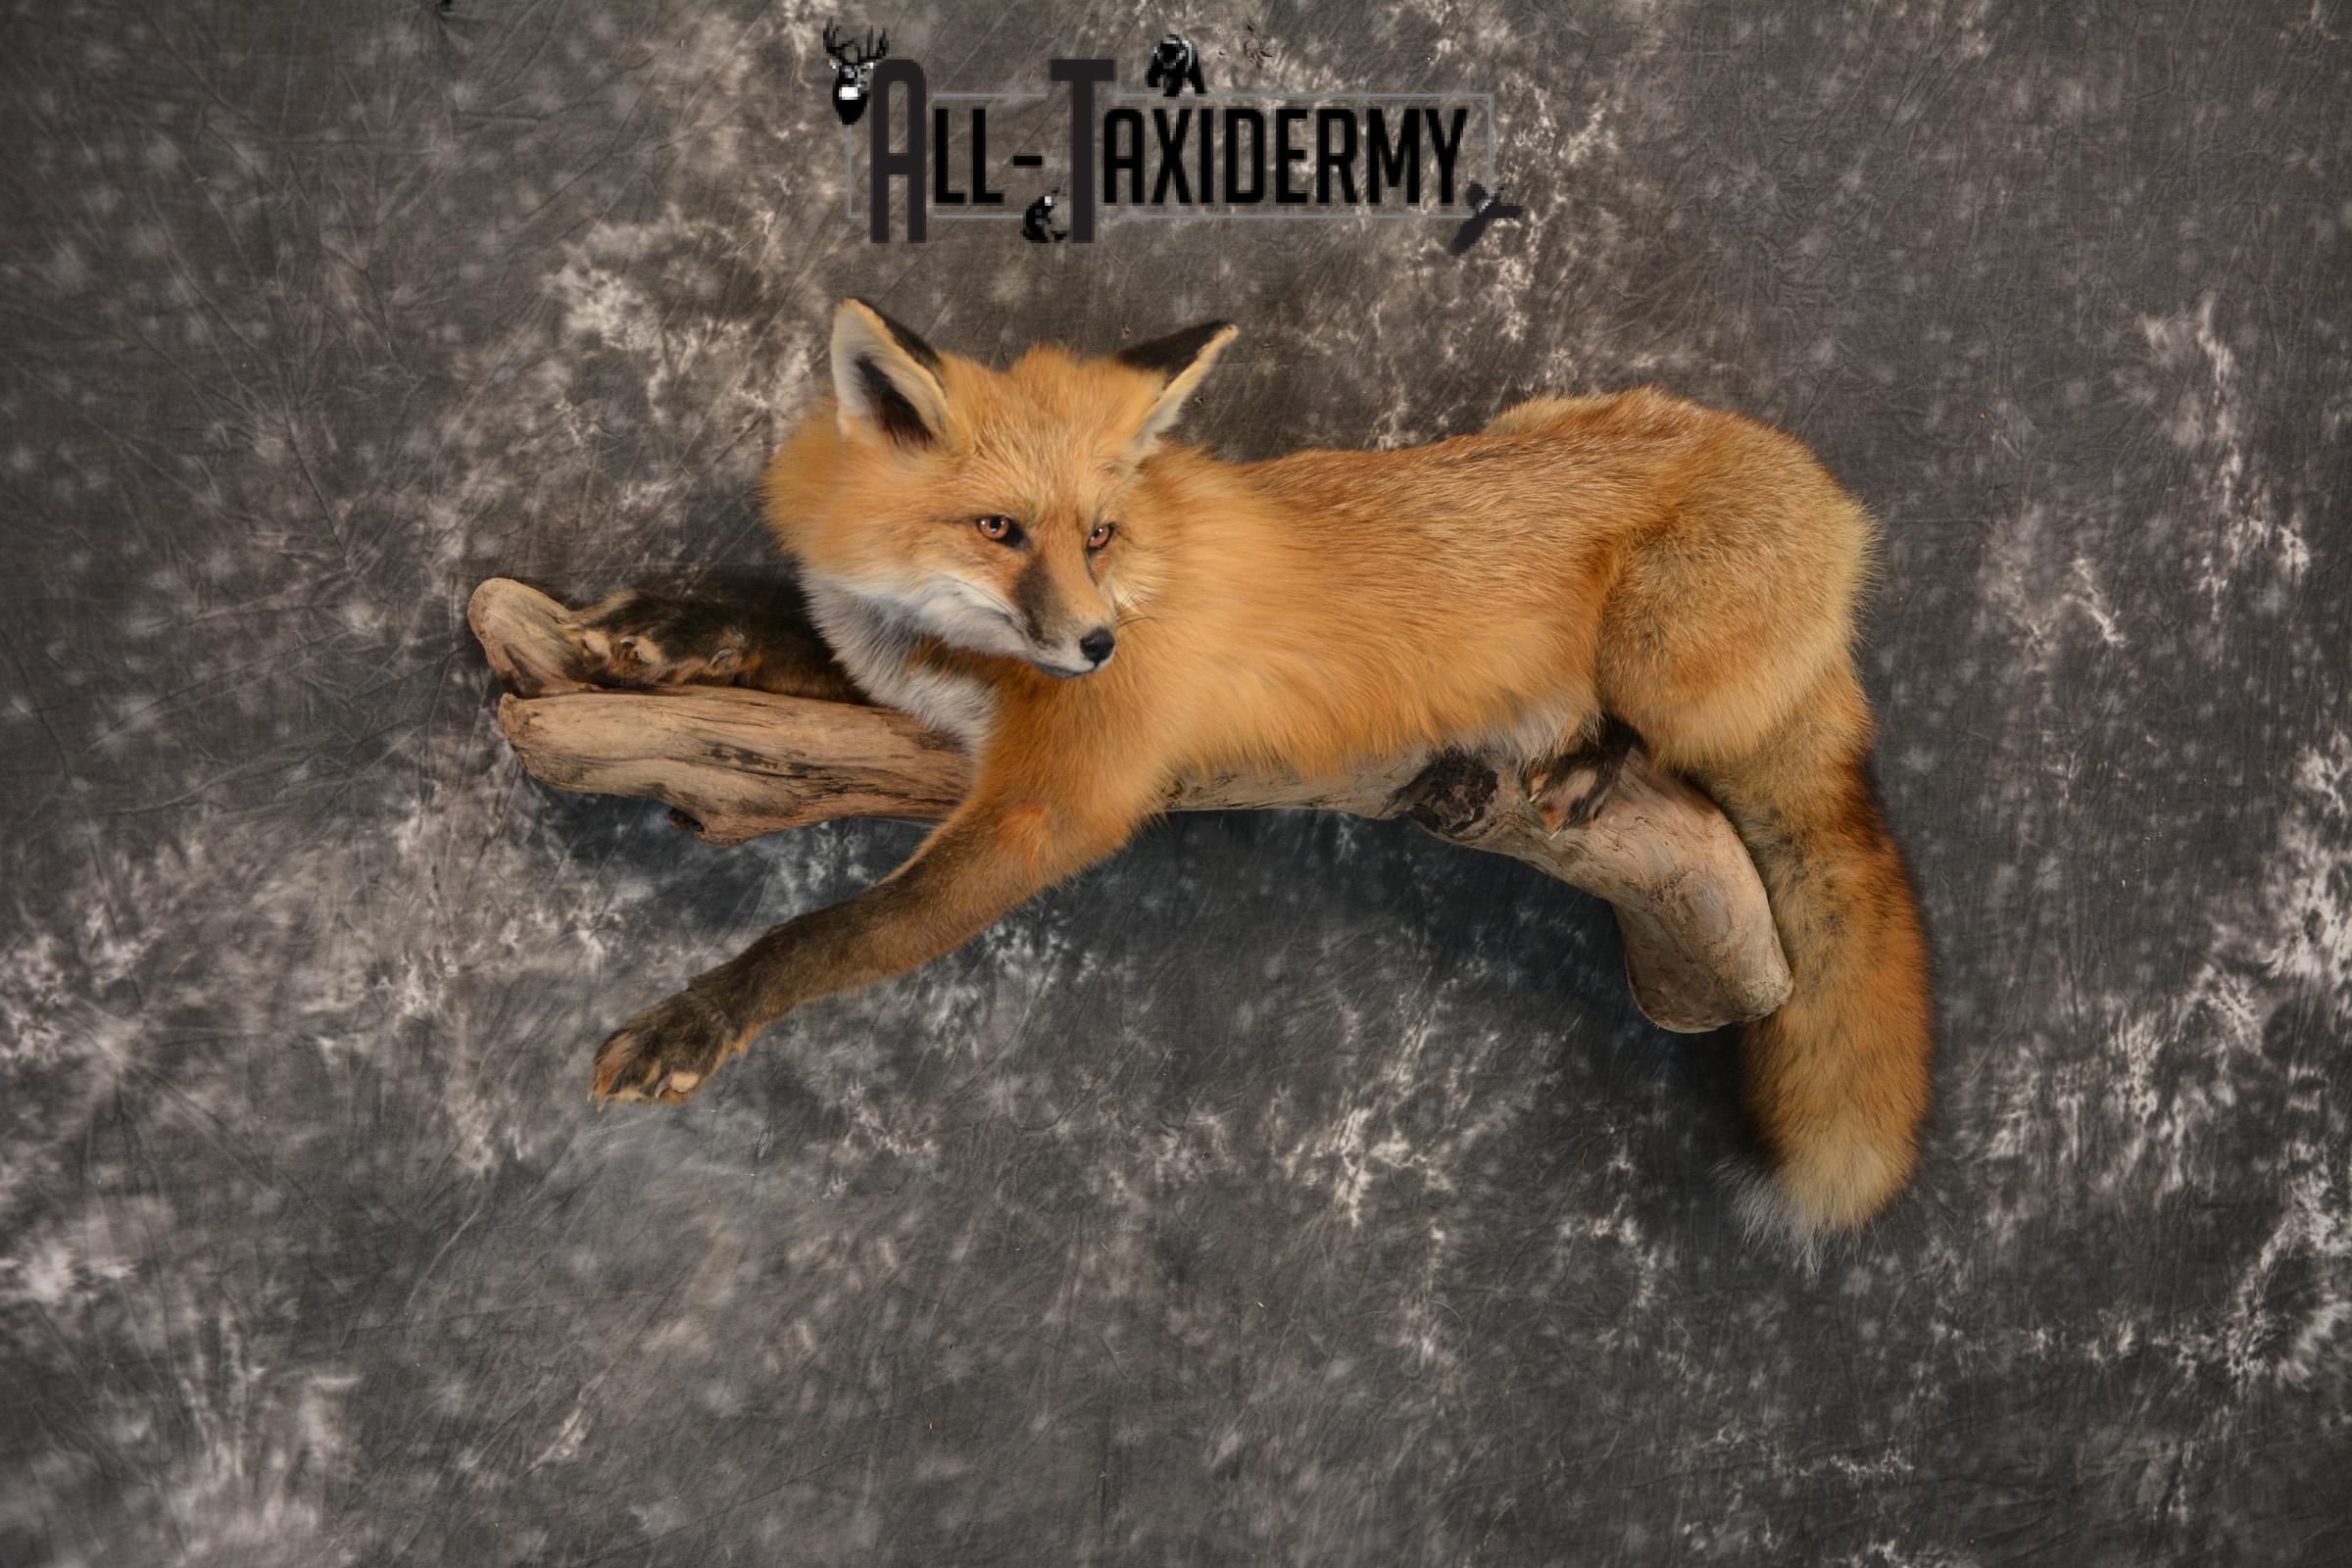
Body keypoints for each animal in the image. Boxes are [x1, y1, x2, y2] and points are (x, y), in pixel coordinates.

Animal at [572, 298, 1934, 1248]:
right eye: (999, 529)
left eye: (1099, 535)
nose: (1099, 645)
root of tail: (1840, 520)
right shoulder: (916, 690)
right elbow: (782, 636)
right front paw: (672, 626)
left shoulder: (1053, 801)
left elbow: (834, 931)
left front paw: (698, 1017)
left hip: (1653, 631)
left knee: (1679, 734)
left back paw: (1601, 755)